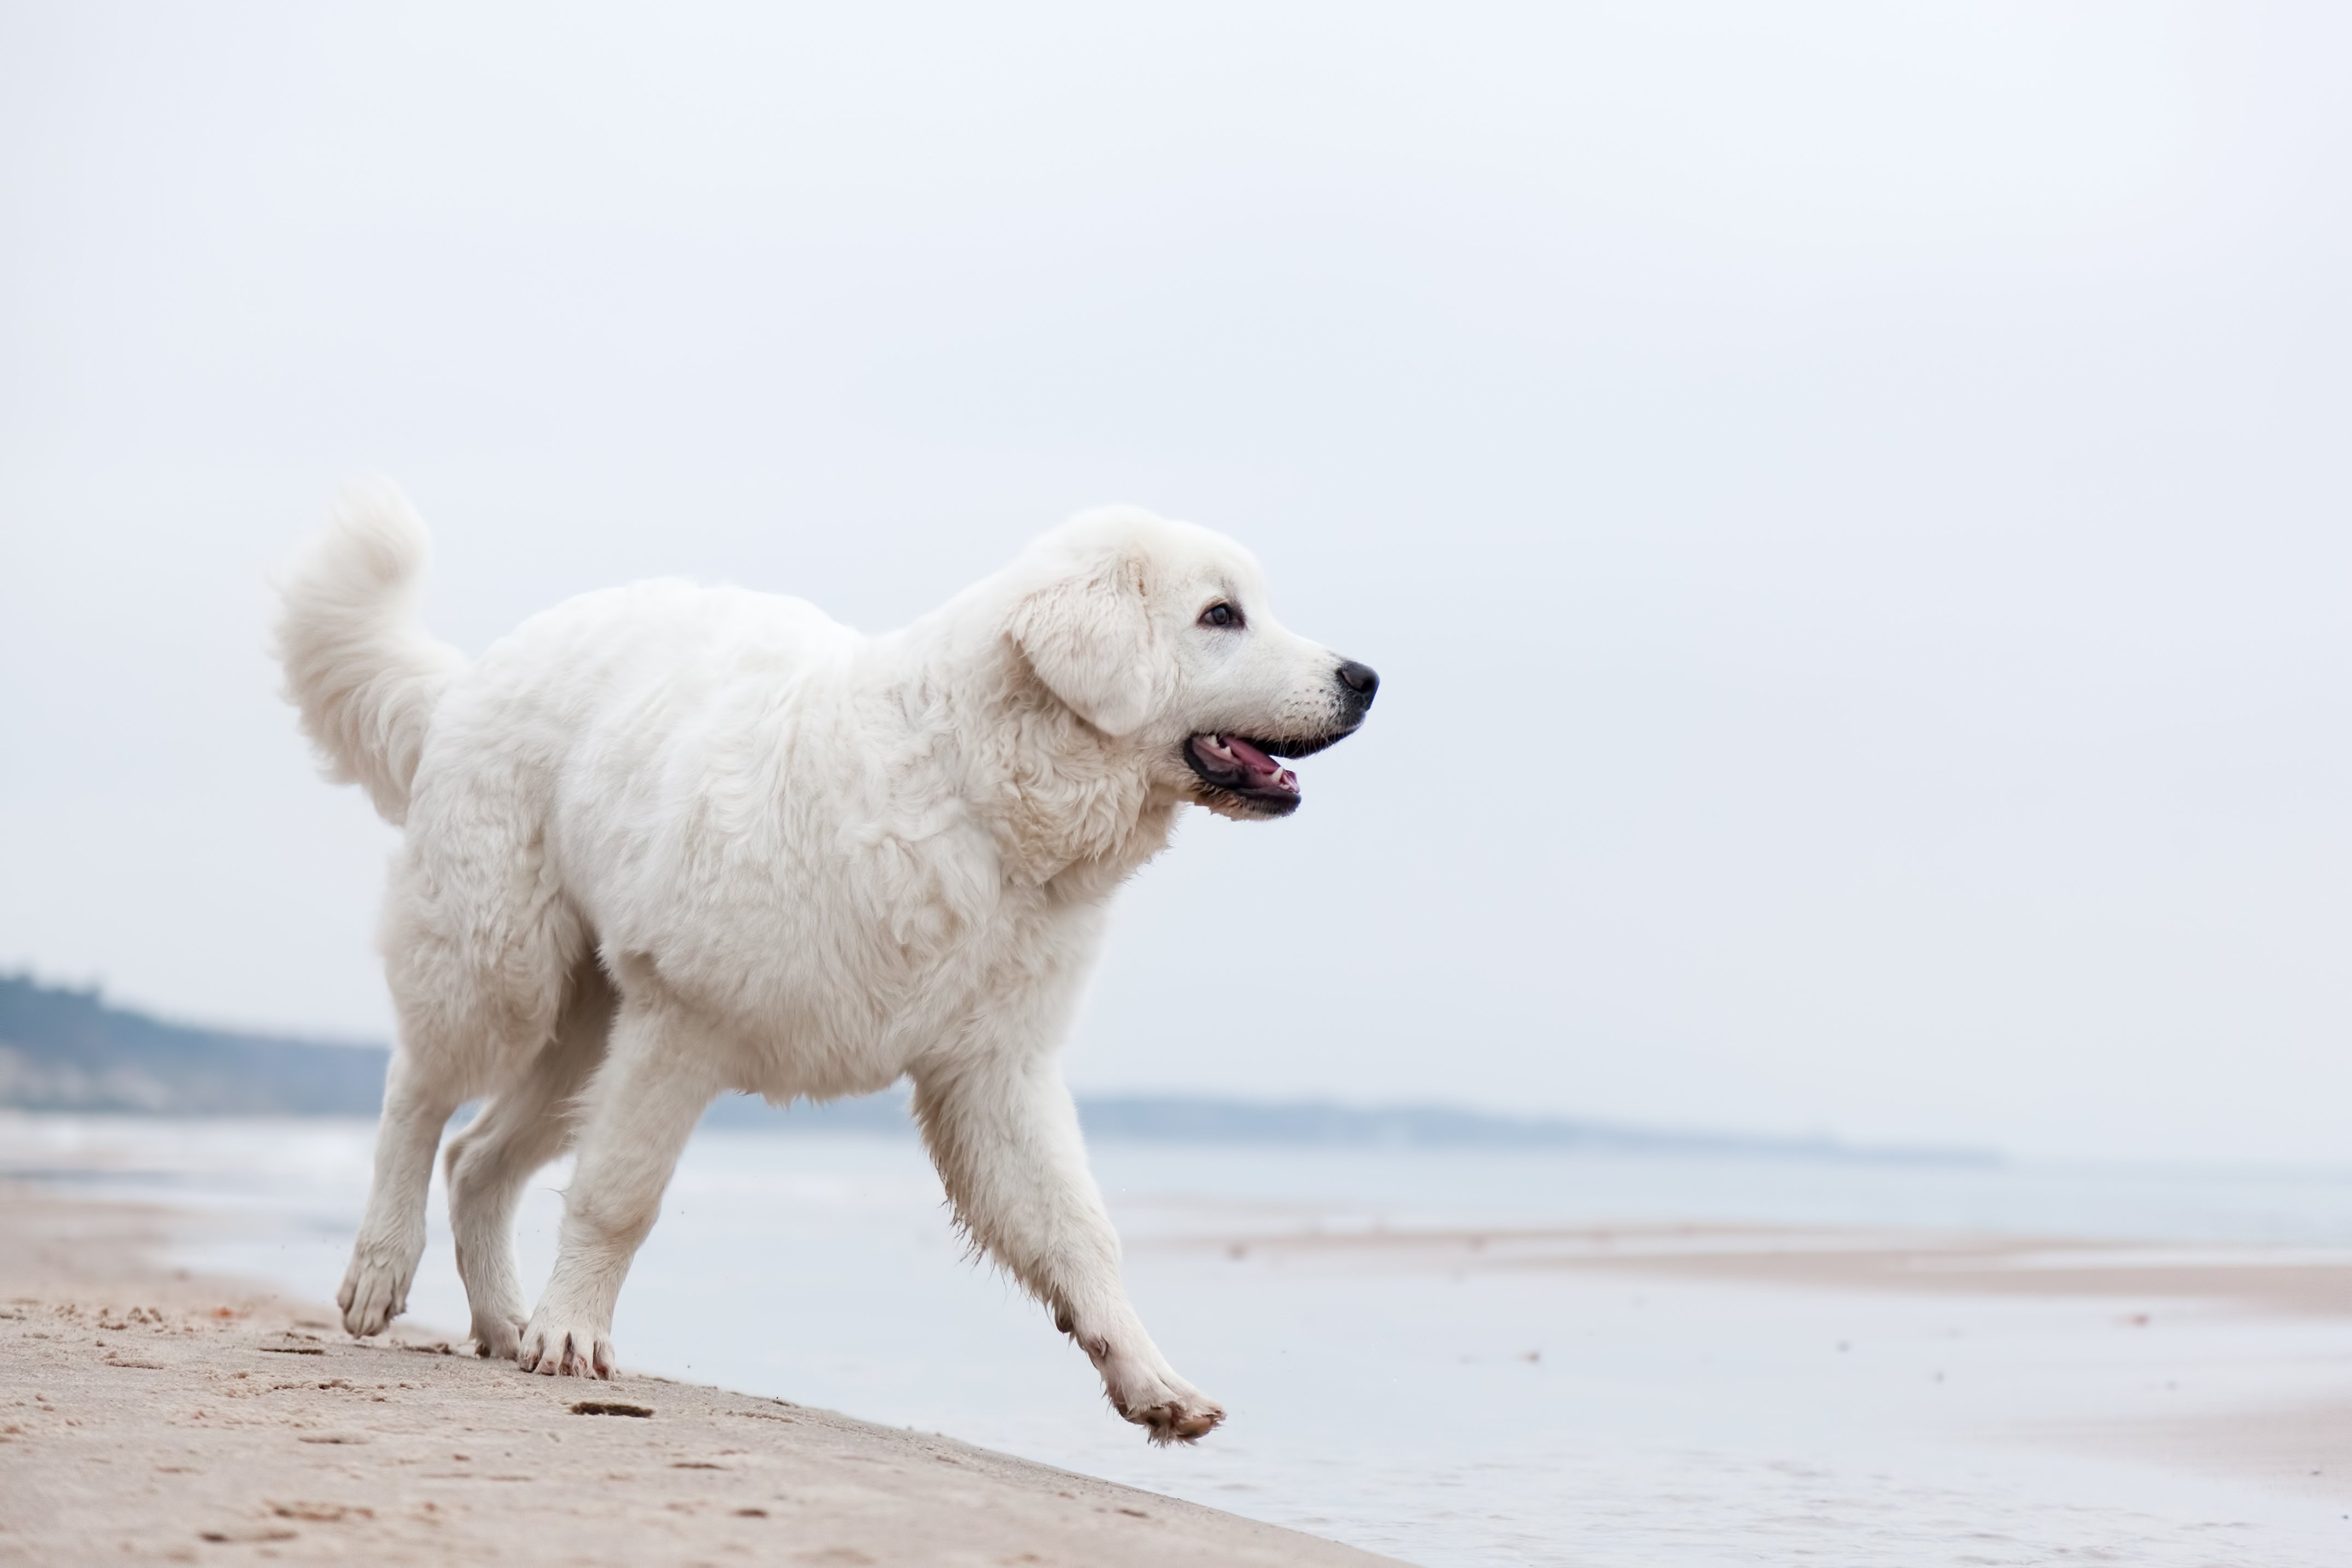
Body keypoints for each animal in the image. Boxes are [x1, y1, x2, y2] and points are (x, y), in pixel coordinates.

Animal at [275, 482, 1373, 1448]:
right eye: (1221, 615)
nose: (1365, 678)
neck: (973, 797)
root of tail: (470, 676)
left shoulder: (994, 1074)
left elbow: (1078, 1233)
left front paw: (1152, 1383)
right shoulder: (681, 1026)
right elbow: (619, 1198)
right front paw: (578, 1330)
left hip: (585, 1040)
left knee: (479, 1158)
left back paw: (505, 1323)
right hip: (502, 977)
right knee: (418, 1098)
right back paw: (383, 1271)